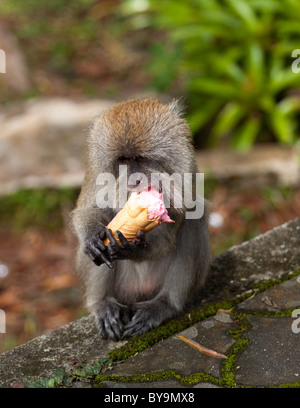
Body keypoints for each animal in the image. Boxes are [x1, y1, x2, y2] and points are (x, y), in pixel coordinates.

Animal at [71, 99, 210, 342]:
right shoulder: (96, 170)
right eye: (123, 160)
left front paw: (133, 249)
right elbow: (87, 210)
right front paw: (93, 239)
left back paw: (164, 304)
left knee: (194, 221)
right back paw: (103, 305)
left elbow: (170, 235)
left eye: (140, 158)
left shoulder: (185, 169)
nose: (135, 180)